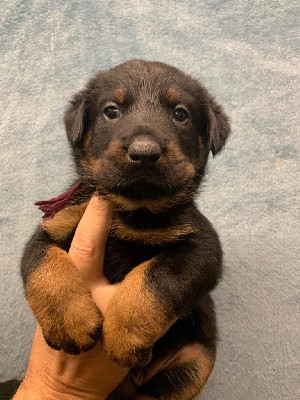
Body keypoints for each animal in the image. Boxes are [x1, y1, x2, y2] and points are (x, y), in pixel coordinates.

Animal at [22, 60, 231, 400]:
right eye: (111, 111)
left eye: (181, 114)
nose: (144, 152)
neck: (130, 210)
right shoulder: (53, 226)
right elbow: (43, 267)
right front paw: (69, 323)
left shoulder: (202, 247)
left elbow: (157, 278)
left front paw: (125, 333)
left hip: (195, 362)